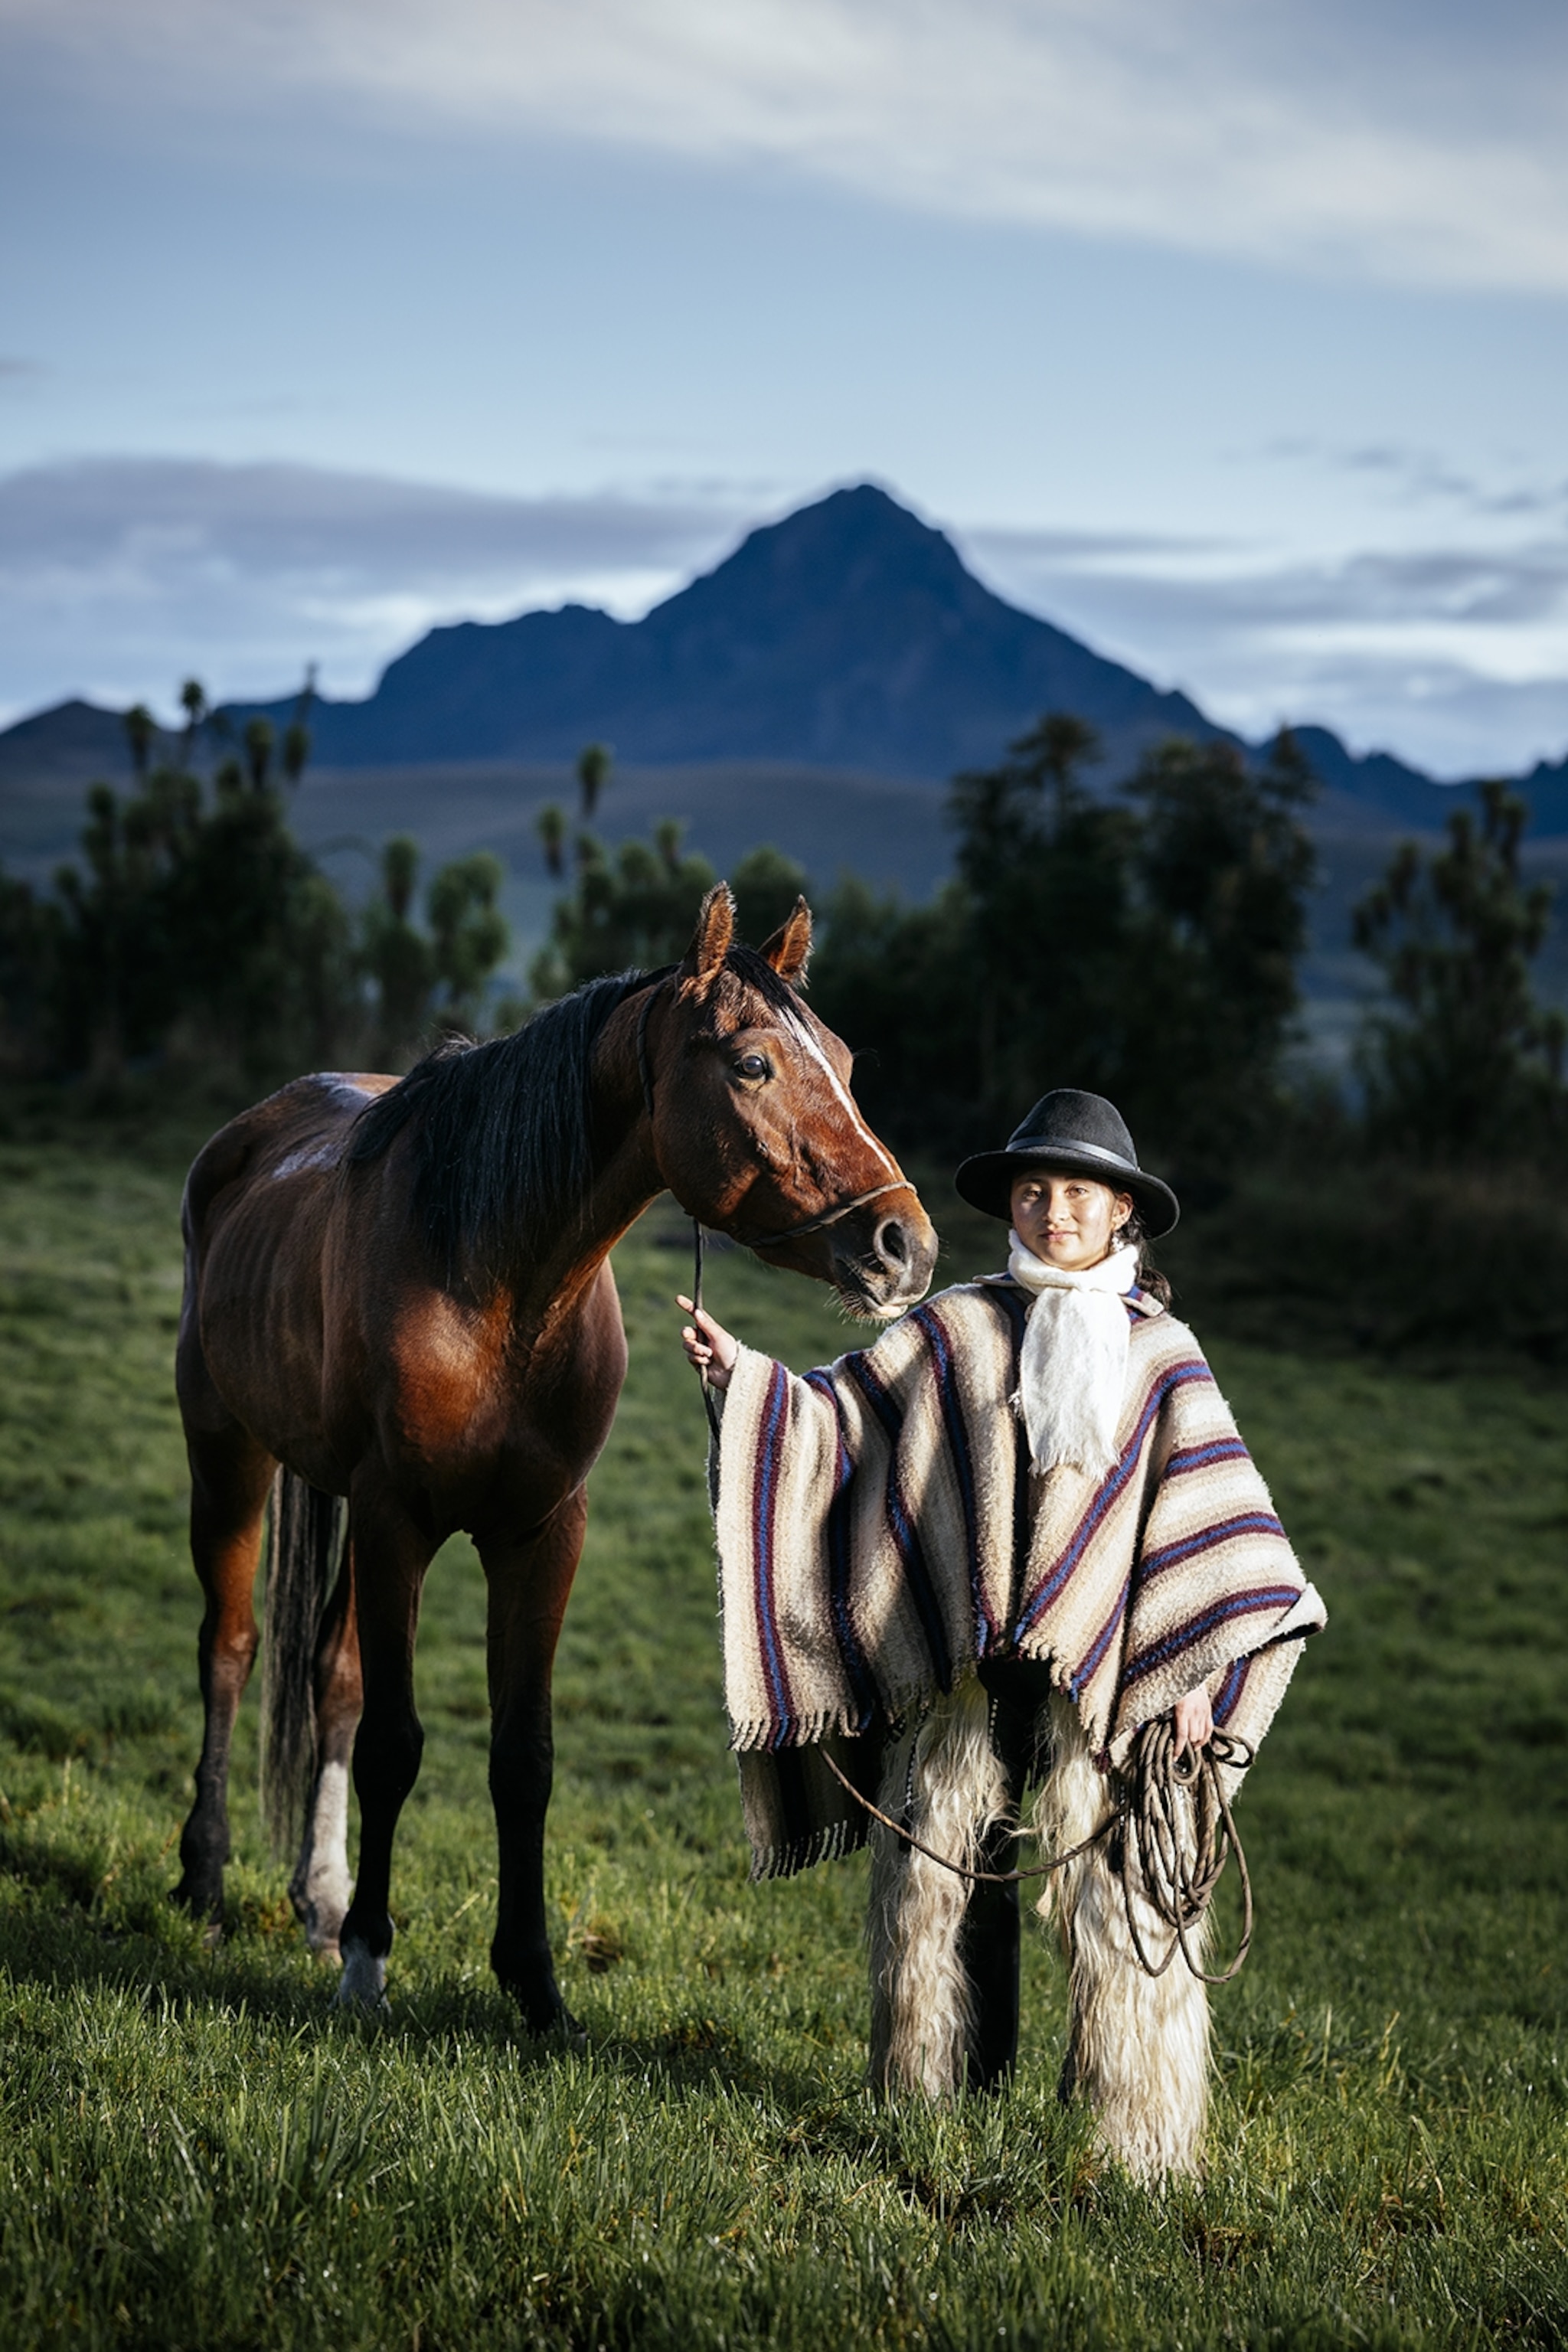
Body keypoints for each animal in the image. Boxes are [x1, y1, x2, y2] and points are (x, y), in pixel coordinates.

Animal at [172, 884, 937, 2026]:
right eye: (752, 1064)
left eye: (842, 1061)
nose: (905, 1245)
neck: (496, 1282)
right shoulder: (399, 1522)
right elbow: (396, 1744)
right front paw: (369, 1961)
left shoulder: (541, 1532)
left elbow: (520, 1757)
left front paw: (532, 1984)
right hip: (229, 1457)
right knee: (229, 1652)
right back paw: (210, 1880)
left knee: (330, 1681)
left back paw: (319, 1899)